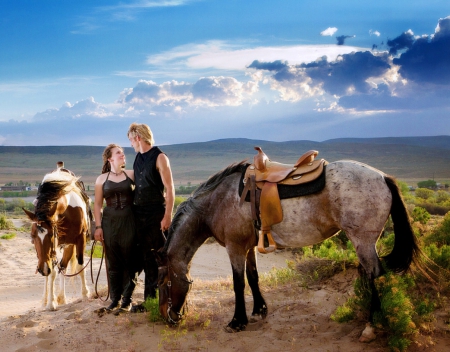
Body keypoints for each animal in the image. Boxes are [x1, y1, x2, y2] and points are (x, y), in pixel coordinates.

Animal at [23, 169, 91, 310]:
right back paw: (46, 299)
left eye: (51, 234)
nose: (43, 269)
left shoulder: (80, 239)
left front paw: (85, 294)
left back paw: (62, 298)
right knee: (54, 271)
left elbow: (80, 266)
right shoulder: (52, 250)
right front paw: (51, 302)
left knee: (63, 267)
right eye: (32, 236)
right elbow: (52, 273)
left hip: (68, 245)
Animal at [156, 155, 422, 332]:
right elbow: (253, 277)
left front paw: (237, 321)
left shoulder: (235, 248)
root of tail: (382, 177)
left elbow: (238, 284)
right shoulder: (249, 247)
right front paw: (259, 310)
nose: (168, 317)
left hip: (363, 241)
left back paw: (372, 320)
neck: (218, 201)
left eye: (163, 283)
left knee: (373, 273)